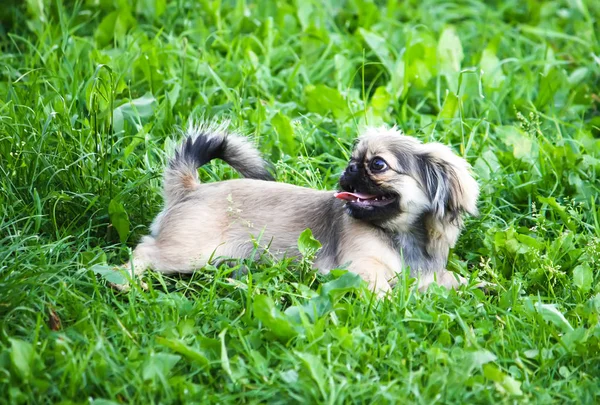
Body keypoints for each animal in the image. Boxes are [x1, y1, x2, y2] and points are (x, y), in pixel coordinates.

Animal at [112, 121, 478, 296]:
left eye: (377, 165)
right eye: (354, 160)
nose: (349, 169)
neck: (401, 237)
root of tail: (191, 189)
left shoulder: (429, 275)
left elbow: (454, 280)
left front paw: (478, 288)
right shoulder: (361, 268)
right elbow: (382, 288)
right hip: (189, 252)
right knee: (144, 251)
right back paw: (126, 284)